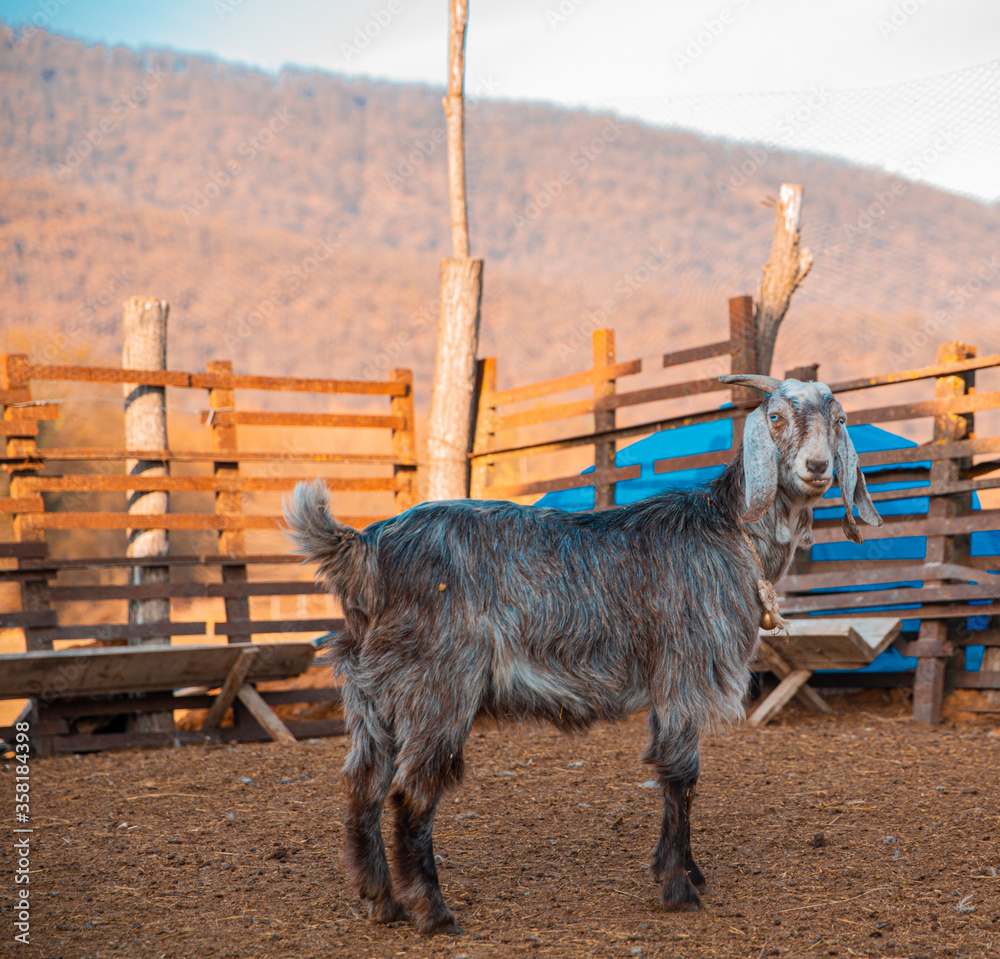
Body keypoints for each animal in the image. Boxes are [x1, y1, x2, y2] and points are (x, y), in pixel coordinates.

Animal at [284, 376, 884, 936]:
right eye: (776, 417)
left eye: (839, 420)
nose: (816, 467)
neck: (728, 532)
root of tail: (366, 548)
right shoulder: (684, 673)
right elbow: (681, 774)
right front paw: (678, 888)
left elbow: (679, 777)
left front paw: (688, 871)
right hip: (438, 685)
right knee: (411, 793)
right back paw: (432, 912)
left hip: (370, 692)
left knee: (364, 784)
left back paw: (381, 902)